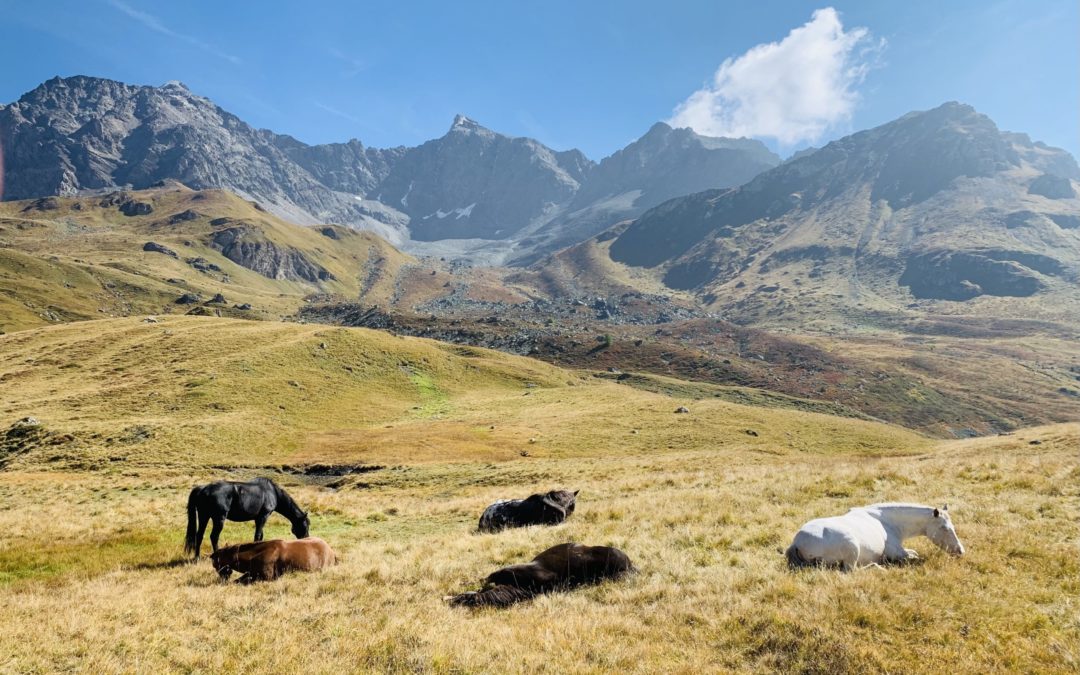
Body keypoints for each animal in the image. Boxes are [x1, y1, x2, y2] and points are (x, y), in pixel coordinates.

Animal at [786, 501, 963, 570]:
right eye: (945, 528)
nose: (961, 551)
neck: (887, 522)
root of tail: (797, 542)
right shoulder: (898, 553)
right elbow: (914, 556)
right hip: (852, 551)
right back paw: (877, 566)